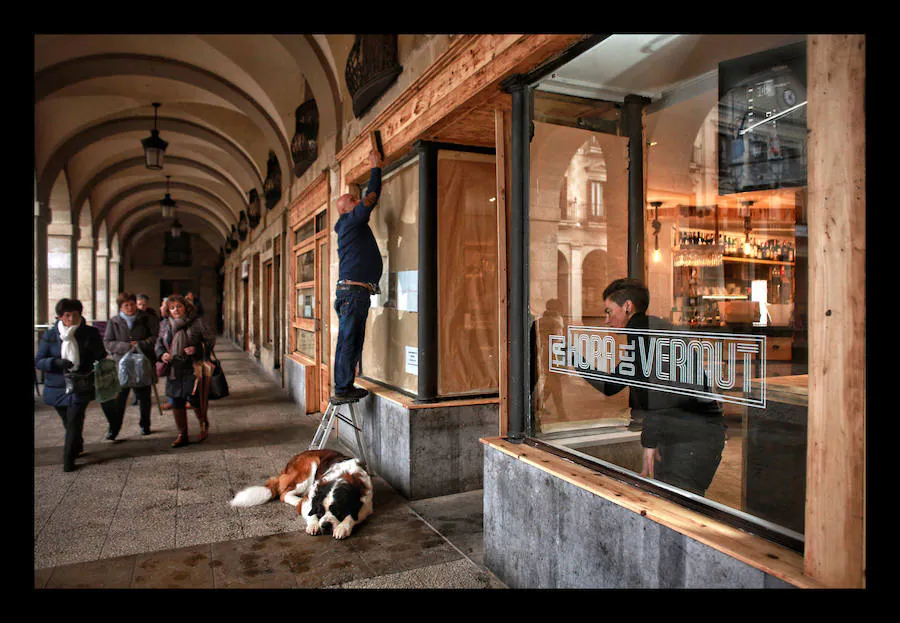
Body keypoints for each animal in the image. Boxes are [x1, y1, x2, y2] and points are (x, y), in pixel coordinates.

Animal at [232, 448, 376, 540]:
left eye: (338, 512)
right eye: (320, 512)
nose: (326, 525)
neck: (342, 477)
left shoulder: (366, 503)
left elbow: (352, 515)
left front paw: (342, 527)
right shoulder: (310, 497)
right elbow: (308, 510)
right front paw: (313, 525)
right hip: (310, 465)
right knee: (284, 493)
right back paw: (297, 502)